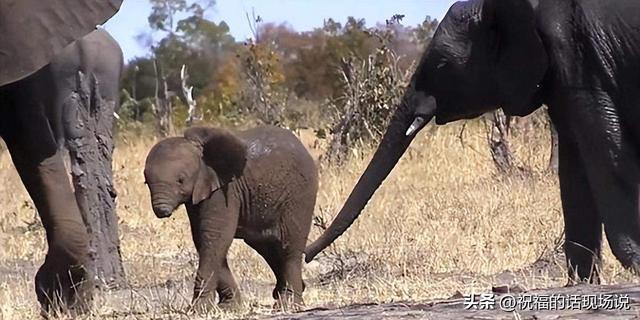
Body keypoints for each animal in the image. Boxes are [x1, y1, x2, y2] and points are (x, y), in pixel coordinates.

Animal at [142, 125, 318, 310]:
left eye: (180, 180)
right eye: (146, 182)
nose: (162, 211)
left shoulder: (225, 191)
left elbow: (215, 237)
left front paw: (199, 309)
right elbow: (202, 239)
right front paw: (229, 306)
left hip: (301, 193)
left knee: (289, 245)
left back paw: (289, 304)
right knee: (267, 245)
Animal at [304, 0, 640, 284]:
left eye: (442, 66)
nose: (305, 256)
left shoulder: (577, 55)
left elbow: (607, 154)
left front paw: (634, 263)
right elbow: (575, 169)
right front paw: (581, 285)